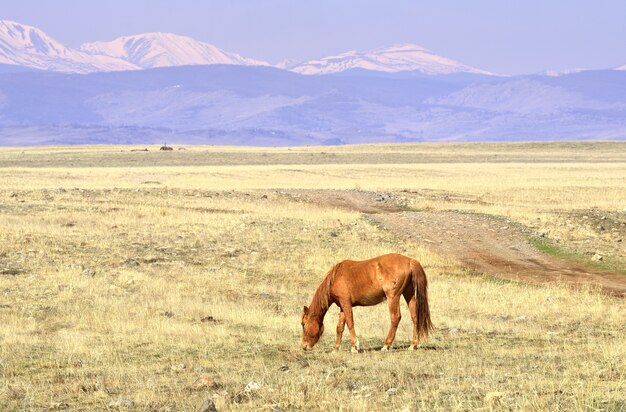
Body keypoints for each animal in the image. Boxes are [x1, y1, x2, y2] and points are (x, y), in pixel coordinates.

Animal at [300, 253, 432, 352]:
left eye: (303, 324)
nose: (304, 346)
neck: (336, 277)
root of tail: (409, 261)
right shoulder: (342, 306)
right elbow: (340, 327)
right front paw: (336, 348)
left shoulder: (346, 303)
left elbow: (350, 323)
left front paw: (354, 346)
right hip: (408, 294)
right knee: (414, 317)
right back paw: (413, 345)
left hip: (393, 297)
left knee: (395, 318)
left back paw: (386, 345)